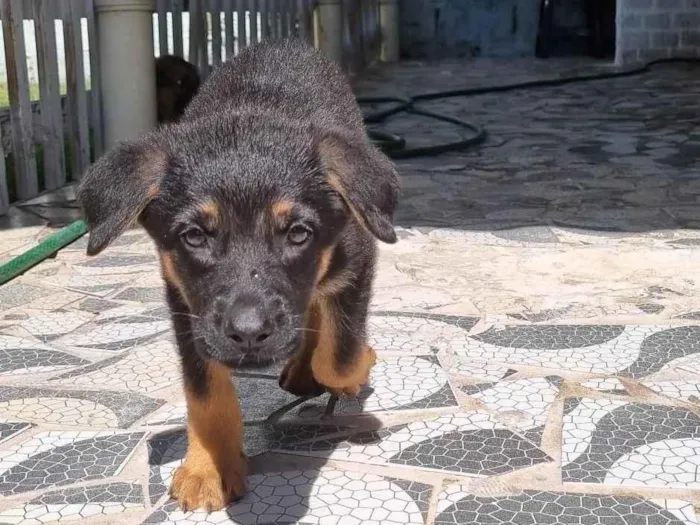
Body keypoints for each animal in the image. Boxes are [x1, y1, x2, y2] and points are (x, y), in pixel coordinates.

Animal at [76, 40, 400, 512]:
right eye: (194, 236)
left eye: (298, 234)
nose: (248, 335)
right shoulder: (187, 304)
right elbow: (205, 392)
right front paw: (208, 466)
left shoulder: (356, 261)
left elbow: (339, 356)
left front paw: (357, 368)